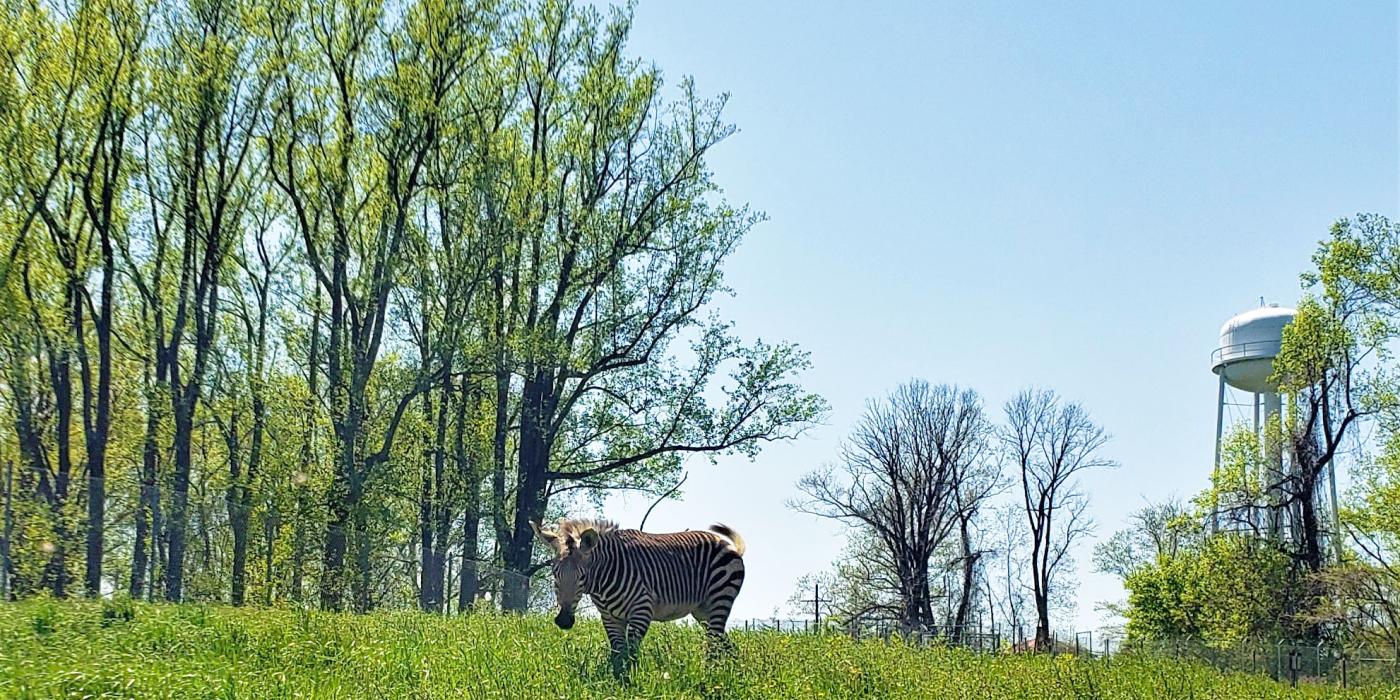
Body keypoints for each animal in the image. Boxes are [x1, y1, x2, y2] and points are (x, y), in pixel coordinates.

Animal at [529, 520, 744, 672]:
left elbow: (630, 652)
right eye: (554, 573)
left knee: (715, 643)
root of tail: (728, 545)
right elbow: (617, 652)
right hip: (702, 611)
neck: (603, 578)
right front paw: (615, 679)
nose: (564, 621)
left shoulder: (641, 610)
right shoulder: (609, 617)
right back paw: (731, 673)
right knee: (724, 643)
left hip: (719, 599)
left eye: (582, 577)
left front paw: (630, 680)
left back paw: (711, 674)